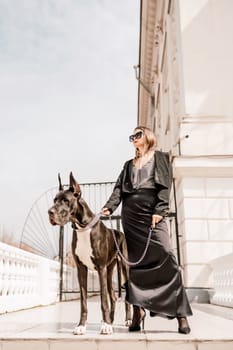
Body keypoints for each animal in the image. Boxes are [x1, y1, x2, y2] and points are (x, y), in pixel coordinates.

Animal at [47, 174, 131, 334]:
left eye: (66, 200)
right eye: (54, 200)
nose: (50, 212)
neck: (83, 227)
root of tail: (119, 232)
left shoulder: (100, 267)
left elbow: (103, 300)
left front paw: (105, 325)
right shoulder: (81, 268)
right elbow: (84, 302)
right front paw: (81, 326)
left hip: (123, 267)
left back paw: (127, 320)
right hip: (109, 270)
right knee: (113, 296)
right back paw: (111, 321)